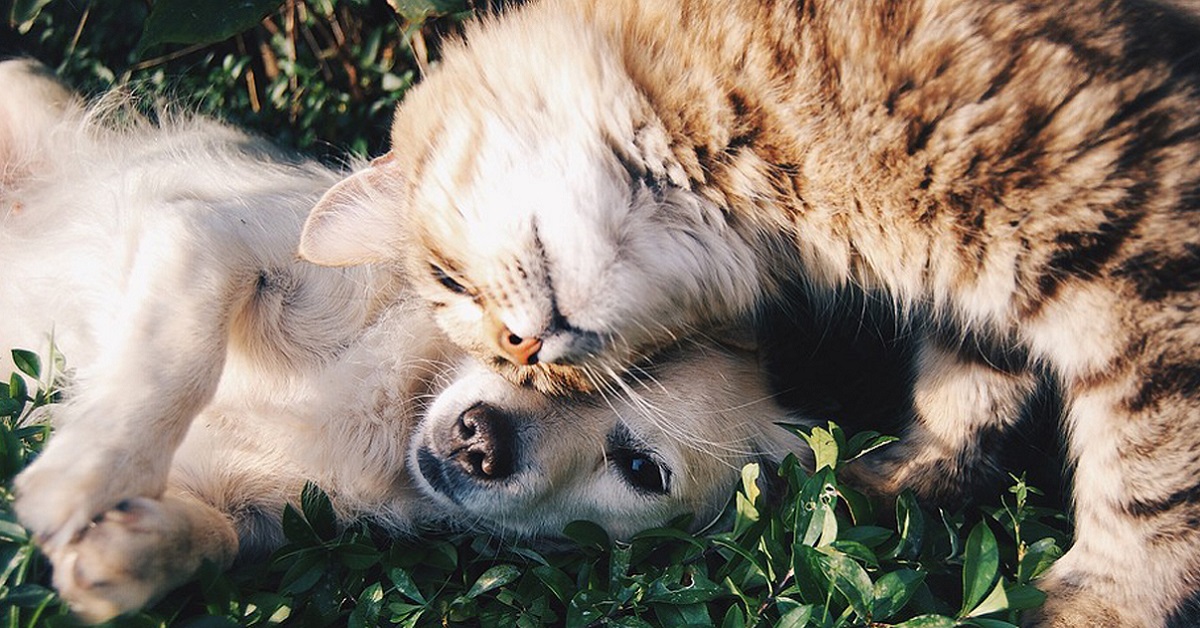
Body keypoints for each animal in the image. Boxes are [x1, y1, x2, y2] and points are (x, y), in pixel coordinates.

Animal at [2, 60, 806, 624]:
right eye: (520, 339)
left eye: (641, 469)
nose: (481, 440)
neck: (393, 412)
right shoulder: (210, 236)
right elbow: (177, 362)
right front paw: (84, 474)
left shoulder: (260, 512)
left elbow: (218, 540)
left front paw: (130, 552)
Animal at [297, 0, 1200, 624]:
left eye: (447, 280)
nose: (522, 350)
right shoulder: (987, 281)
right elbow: (967, 391)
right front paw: (898, 482)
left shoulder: (1136, 245)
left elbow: (1148, 482)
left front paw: (1106, 603)